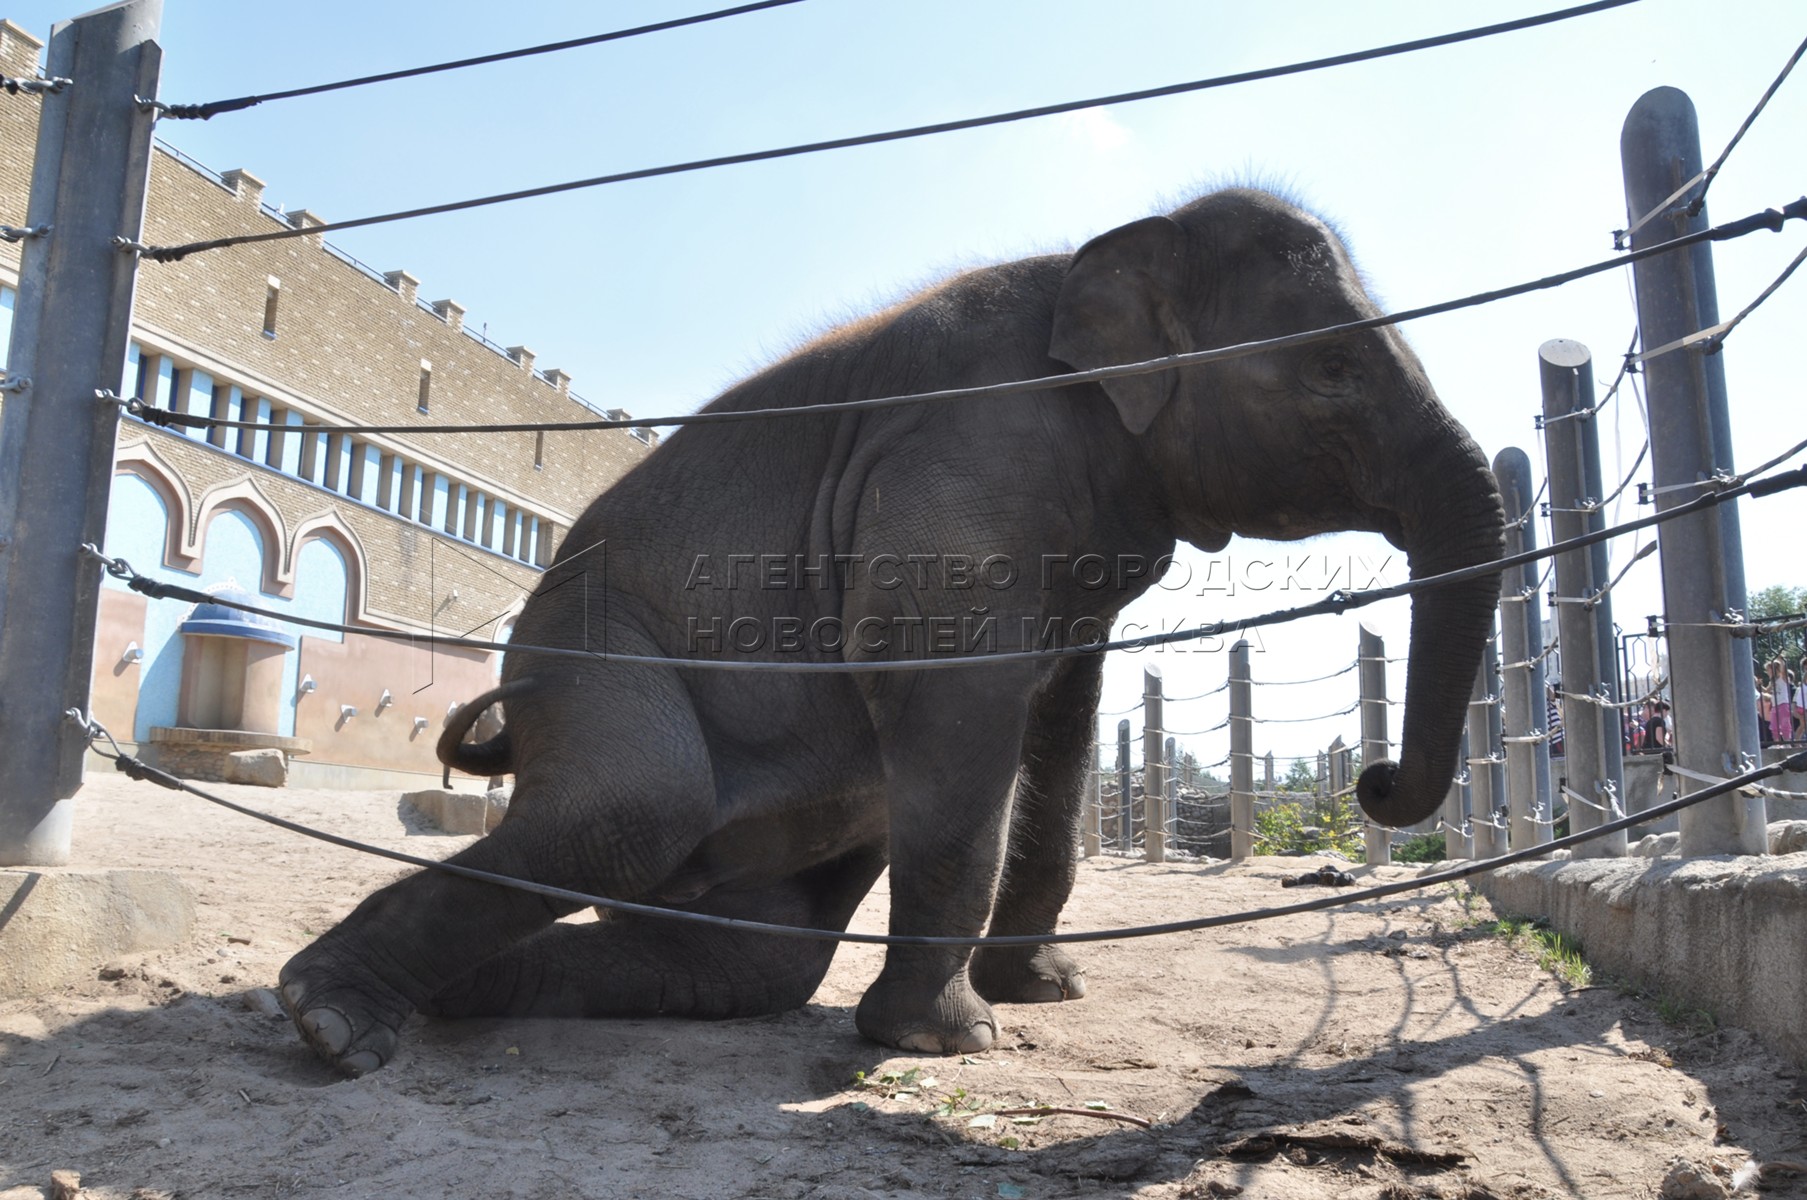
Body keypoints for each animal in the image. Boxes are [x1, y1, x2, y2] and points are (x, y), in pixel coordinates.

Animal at [274, 187, 1503, 1077]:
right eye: (1334, 371)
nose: (1371, 784)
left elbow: (1062, 714)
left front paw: (1039, 991)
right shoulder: (963, 470)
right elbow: (958, 695)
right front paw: (947, 1040)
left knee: (750, 960)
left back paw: (450, 1002)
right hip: (583, 649)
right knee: (630, 815)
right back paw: (330, 1021)